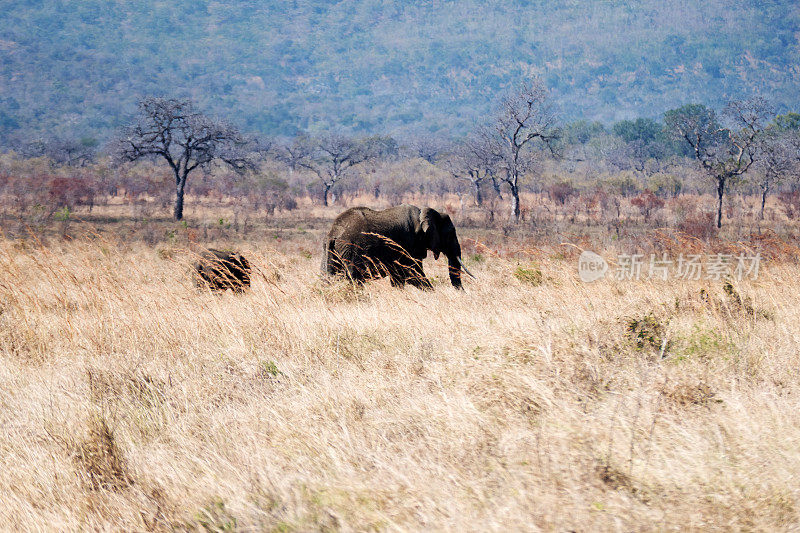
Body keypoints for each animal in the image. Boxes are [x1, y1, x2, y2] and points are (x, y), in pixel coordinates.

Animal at [322, 204, 472, 288]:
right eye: (451, 234)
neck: (423, 213)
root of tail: (334, 233)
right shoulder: (408, 244)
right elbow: (413, 275)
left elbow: (399, 278)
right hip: (352, 250)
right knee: (355, 279)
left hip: (330, 250)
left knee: (327, 277)